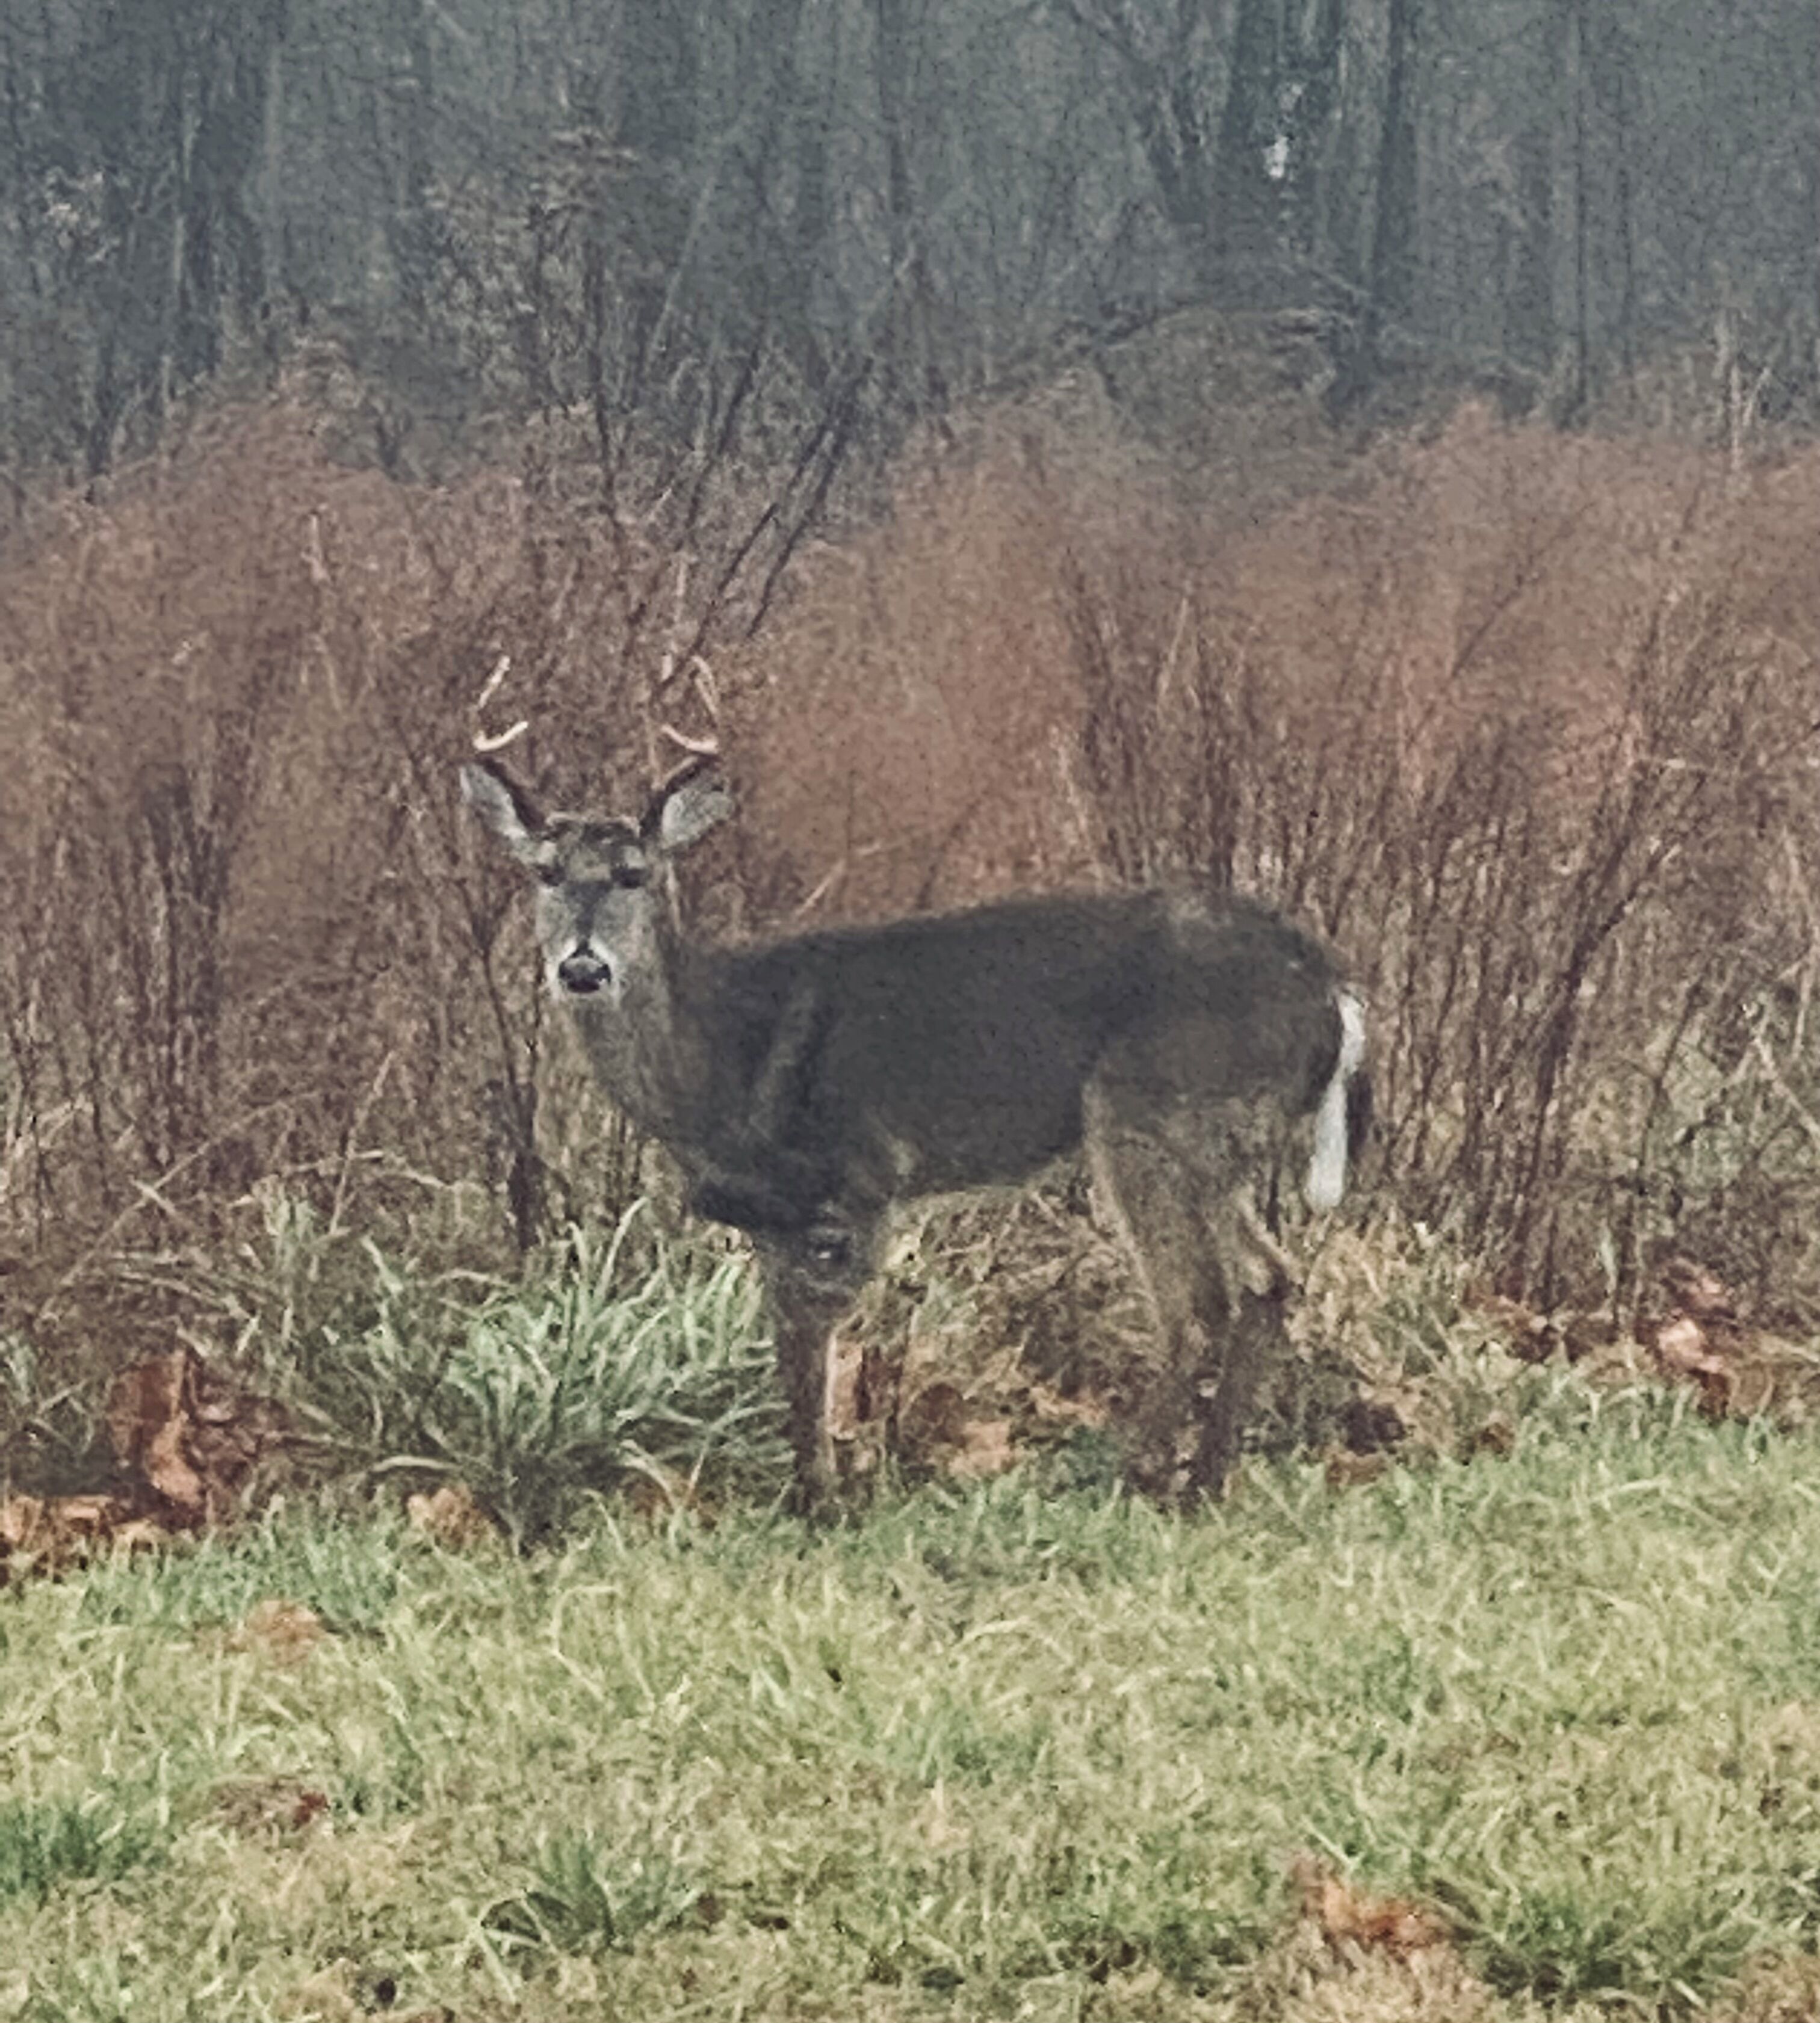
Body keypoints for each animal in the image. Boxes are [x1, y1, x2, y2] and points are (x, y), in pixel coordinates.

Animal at [461, 754, 1368, 1511]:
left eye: (633, 874)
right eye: (544, 871)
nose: (583, 966)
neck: (717, 1061)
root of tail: (1334, 993)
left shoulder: (860, 1178)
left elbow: (814, 1335)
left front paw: (821, 1496)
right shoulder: (773, 1218)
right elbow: (786, 1336)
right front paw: (808, 1486)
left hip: (1158, 1109)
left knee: (1200, 1300)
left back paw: (1138, 1473)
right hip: (1216, 1143)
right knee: (1270, 1277)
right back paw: (1206, 1479)